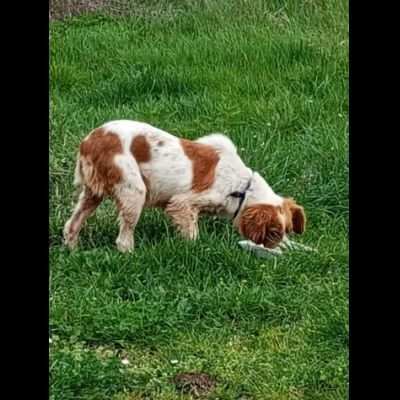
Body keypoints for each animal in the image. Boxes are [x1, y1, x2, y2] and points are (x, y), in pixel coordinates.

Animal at [63, 120, 306, 253]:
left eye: (286, 231)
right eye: (273, 233)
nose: (280, 251)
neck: (242, 187)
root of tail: (89, 141)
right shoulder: (184, 203)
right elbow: (192, 235)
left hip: (92, 194)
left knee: (70, 226)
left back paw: (73, 251)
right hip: (134, 191)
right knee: (123, 240)